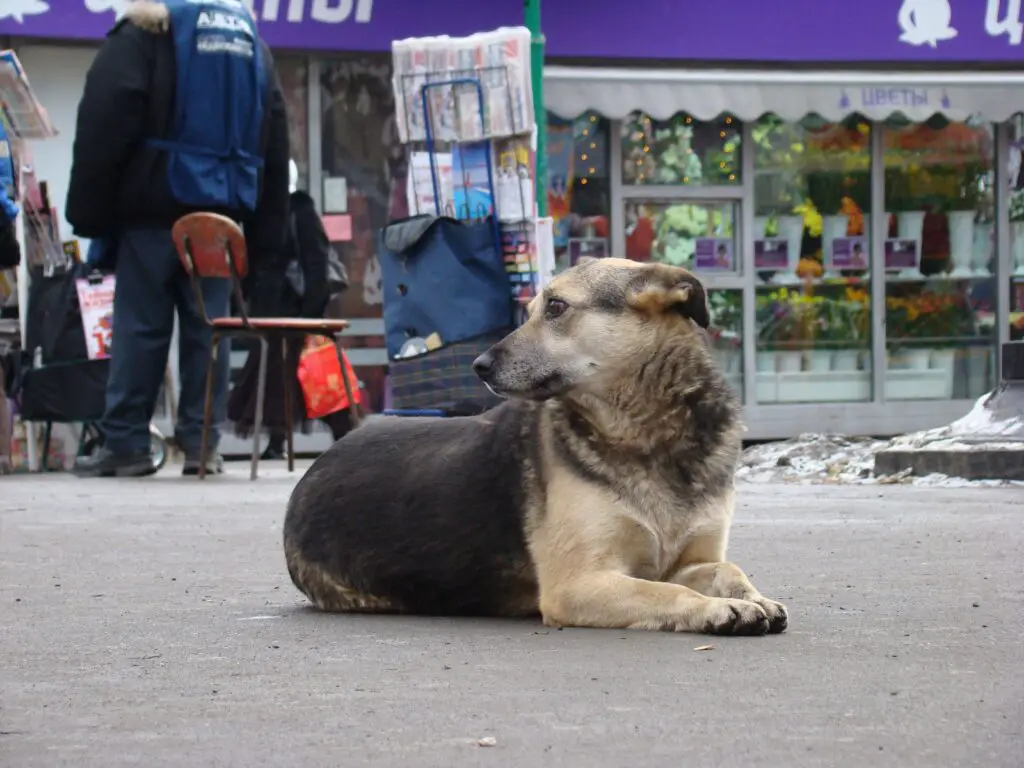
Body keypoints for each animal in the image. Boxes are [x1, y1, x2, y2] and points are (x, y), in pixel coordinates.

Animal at [284, 260, 786, 638]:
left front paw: (753, 597)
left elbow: (728, 569)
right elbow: (668, 593)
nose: (479, 364)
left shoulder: (687, 561)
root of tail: (314, 469)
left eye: (557, 307)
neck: (649, 433)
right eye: (529, 310)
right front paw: (716, 609)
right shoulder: (578, 583)